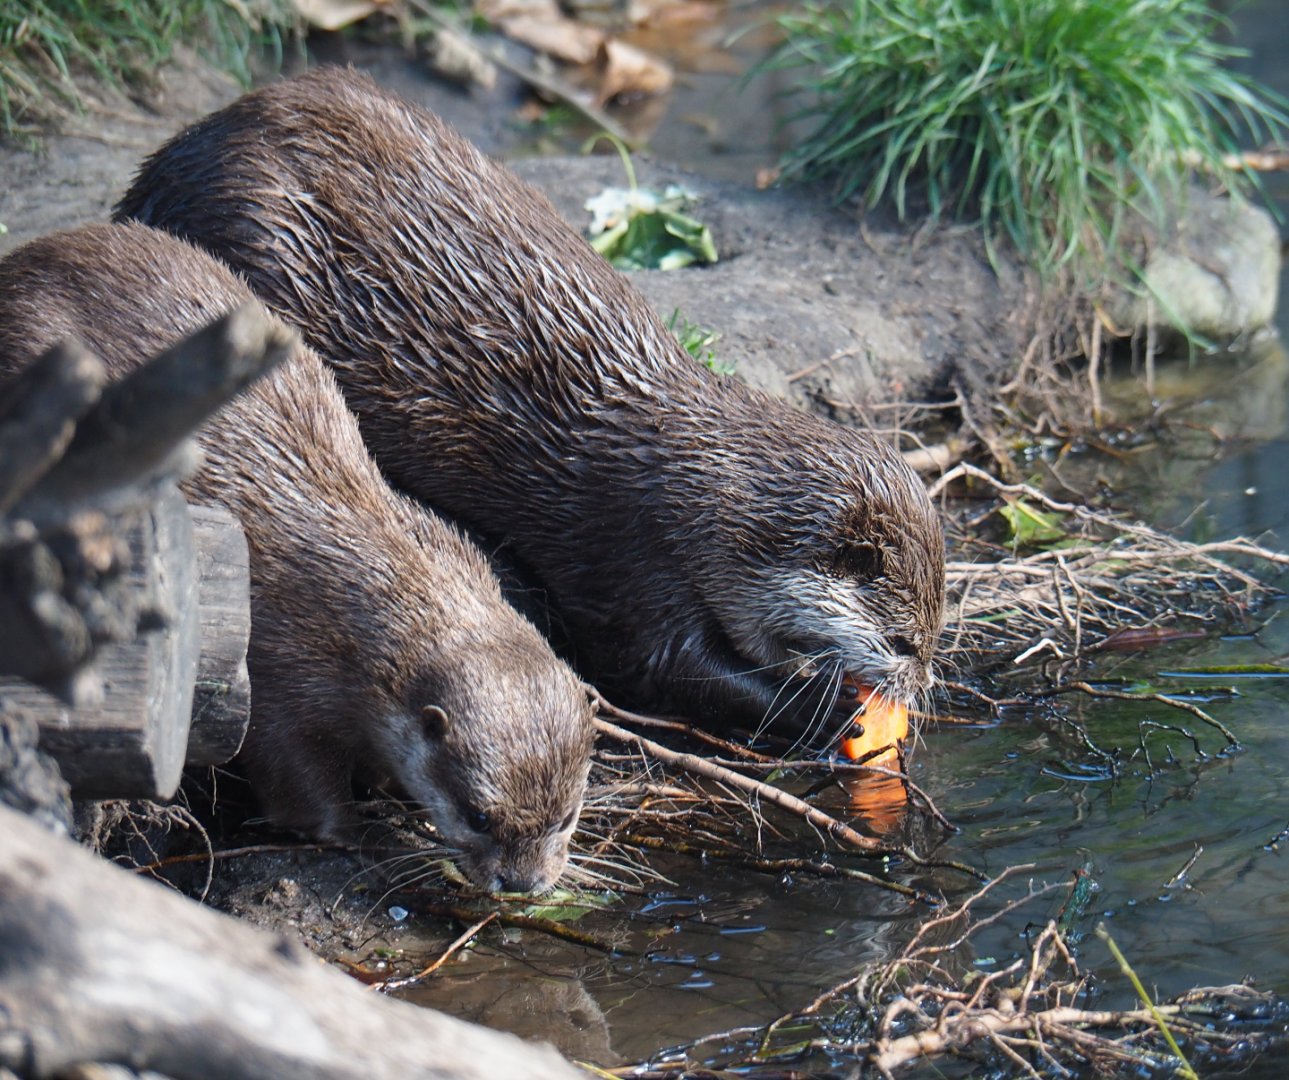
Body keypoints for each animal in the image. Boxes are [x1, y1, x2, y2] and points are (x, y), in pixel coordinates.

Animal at [0, 222, 594, 893]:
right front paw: (362, 836)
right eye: (478, 816)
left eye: (568, 816)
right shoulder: (282, 678)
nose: (523, 883)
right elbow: (296, 784)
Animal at [117, 67, 945, 740]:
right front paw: (821, 708)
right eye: (902, 642)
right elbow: (661, 667)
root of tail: (161, 170)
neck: (701, 489)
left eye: (931, 639)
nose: (921, 687)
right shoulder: (633, 561)